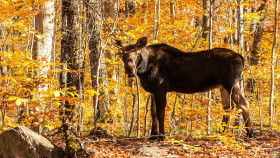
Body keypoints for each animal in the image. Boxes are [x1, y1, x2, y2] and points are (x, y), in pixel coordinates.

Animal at [111, 36, 254, 140]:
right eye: (122, 53)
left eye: (137, 52)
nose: (129, 69)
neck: (145, 69)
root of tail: (241, 58)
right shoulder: (153, 91)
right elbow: (153, 113)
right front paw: (152, 135)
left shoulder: (161, 88)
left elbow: (160, 113)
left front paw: (161, 136)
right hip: (223, 86)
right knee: (228, 107)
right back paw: (220, 133)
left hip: (231, 82)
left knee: (243, 103)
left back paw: (250, 133)